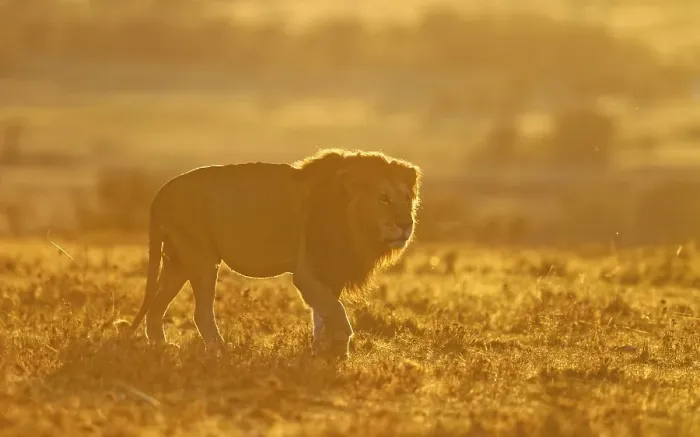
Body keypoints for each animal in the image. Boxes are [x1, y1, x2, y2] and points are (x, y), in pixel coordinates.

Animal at [126, 148, 422, 359]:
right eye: (383, 198)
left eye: (407, 198)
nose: (405, 224)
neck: (355, 224)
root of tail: (161, 192)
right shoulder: (307, 272)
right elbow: (335, 312)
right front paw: (339, 348)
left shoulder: (331, 272)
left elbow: (322, 315)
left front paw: (322, 352)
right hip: (201, 259)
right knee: (200, 313)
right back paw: (221, 352)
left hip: (177, 262)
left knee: (156, 308)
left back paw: (162, 348)